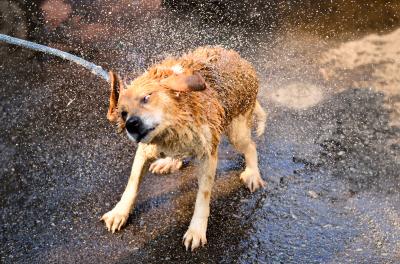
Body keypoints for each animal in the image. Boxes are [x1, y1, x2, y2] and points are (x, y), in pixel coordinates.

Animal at [101, 46, 268, 251]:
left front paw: (196, 230)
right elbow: (132, 183)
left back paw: (252, 173)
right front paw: (120, 212)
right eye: (123, 113)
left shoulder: (207, 154)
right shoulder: (145, 150)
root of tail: (242, 61)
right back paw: (169, 161)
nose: (131, 124)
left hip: (237, 132)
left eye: (147, 97)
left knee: (251, 146)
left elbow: (203, 197)